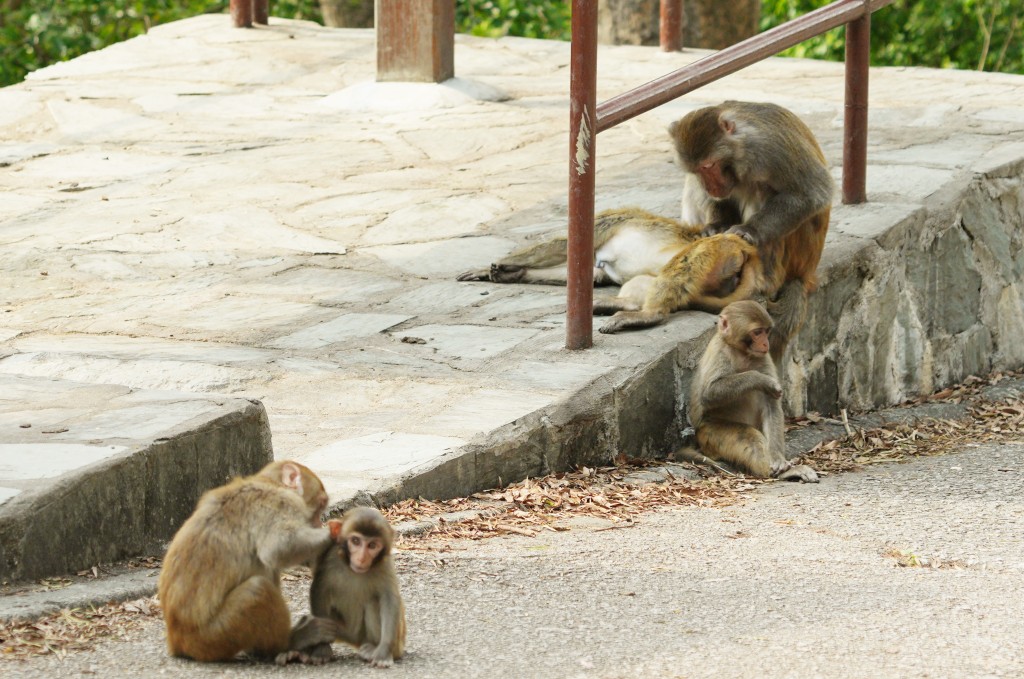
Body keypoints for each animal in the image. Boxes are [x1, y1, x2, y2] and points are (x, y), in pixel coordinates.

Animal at [155, 458, 339, 659]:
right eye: (320, 507)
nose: (319, 523)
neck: (269, 483)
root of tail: (177, 638)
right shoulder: (280, 502)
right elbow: (278, 547)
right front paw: (334, 532)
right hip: (214, 635)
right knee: (257, 589)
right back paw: (287, 642)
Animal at [292, 503, 403, 667]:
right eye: (356, 541)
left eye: (372, 545)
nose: (362, 558)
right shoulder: (330, 557)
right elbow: (319, 591)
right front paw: (321, 648)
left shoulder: (385, 564)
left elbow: (388, 598)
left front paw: (383, 652)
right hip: (345, 632)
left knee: (374, 602)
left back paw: (373, 648)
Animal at [671, 100, 831, 360]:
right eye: (697, 170)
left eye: (709, 165)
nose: (710, 186)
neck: (741, 145)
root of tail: (806, 273)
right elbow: (720, 198)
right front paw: (714, 227)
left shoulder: (769, 147)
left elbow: (812, 193)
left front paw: (749, 231)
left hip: (796, 255)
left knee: (762, 187)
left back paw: (765, 281)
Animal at [684, 301, 819, 483]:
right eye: (757, 332)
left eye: (766, 331)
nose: (766, 343)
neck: (741, 352)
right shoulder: (719, 352)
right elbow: (708, 394)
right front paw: (761, 380)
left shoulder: (763, 357)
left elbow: (772, 406)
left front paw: (778, 459)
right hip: (709, 433)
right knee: (749, 438)